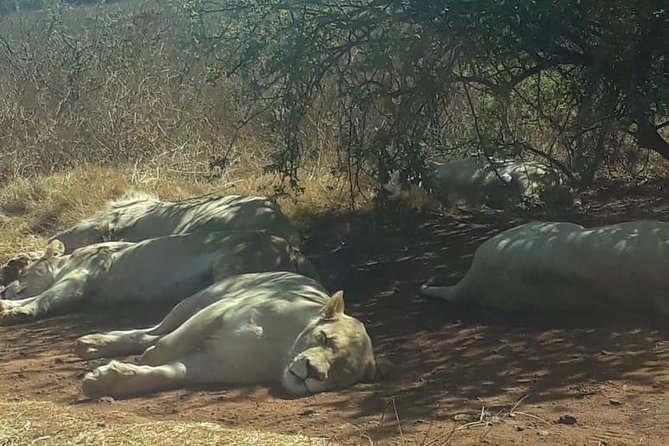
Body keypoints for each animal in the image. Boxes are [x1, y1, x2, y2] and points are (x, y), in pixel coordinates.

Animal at [0, 231, 318, 324]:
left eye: (21, 265)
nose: (4, 287)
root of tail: (292, 247)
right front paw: (6, 306)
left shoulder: (83, 278)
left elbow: (44, 296)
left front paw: (16, 311)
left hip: (230, 262)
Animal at [77, 271, 391, 398]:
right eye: (324, 338)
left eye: (342, 369)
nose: (313, 371)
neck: (280, 352)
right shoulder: (224, 308)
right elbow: (168, 345)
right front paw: (144, 359)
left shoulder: (214, 364)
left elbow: (166, 373)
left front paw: (107, 381)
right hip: (197, 299)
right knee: (154, 332)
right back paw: (91, 343)